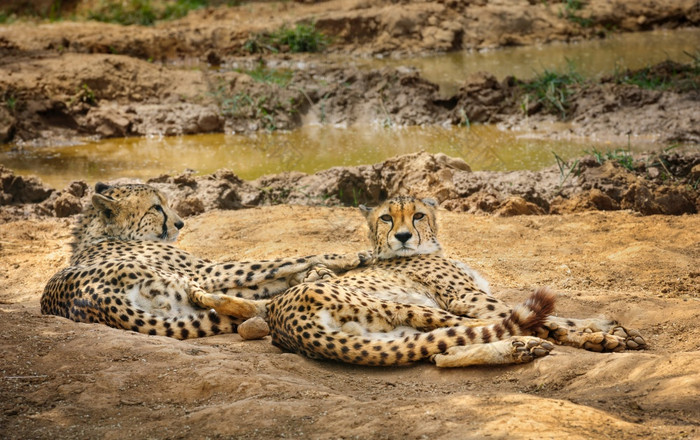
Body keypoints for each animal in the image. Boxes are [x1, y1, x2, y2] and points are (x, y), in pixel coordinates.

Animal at [42, 180, 372, 338]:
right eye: (156, 208)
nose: (180, 223)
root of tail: (96, 301)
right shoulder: (206, 270)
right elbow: (279, 260)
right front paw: (349, 255)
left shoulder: (205, 276)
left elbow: (267, 275)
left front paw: (312, 273)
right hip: (182, 284)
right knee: (259, 305)